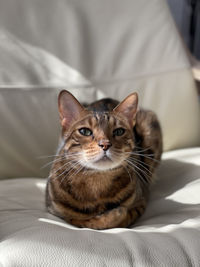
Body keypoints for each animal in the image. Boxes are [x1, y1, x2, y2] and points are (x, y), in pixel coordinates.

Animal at [45, 90, 162, 230]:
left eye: (119, 131)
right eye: (84, 131)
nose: (105, 144)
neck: (97, 180)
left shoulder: (141, 200)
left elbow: (122, 217)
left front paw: (115, 214)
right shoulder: (54, 208)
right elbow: (81, 220)